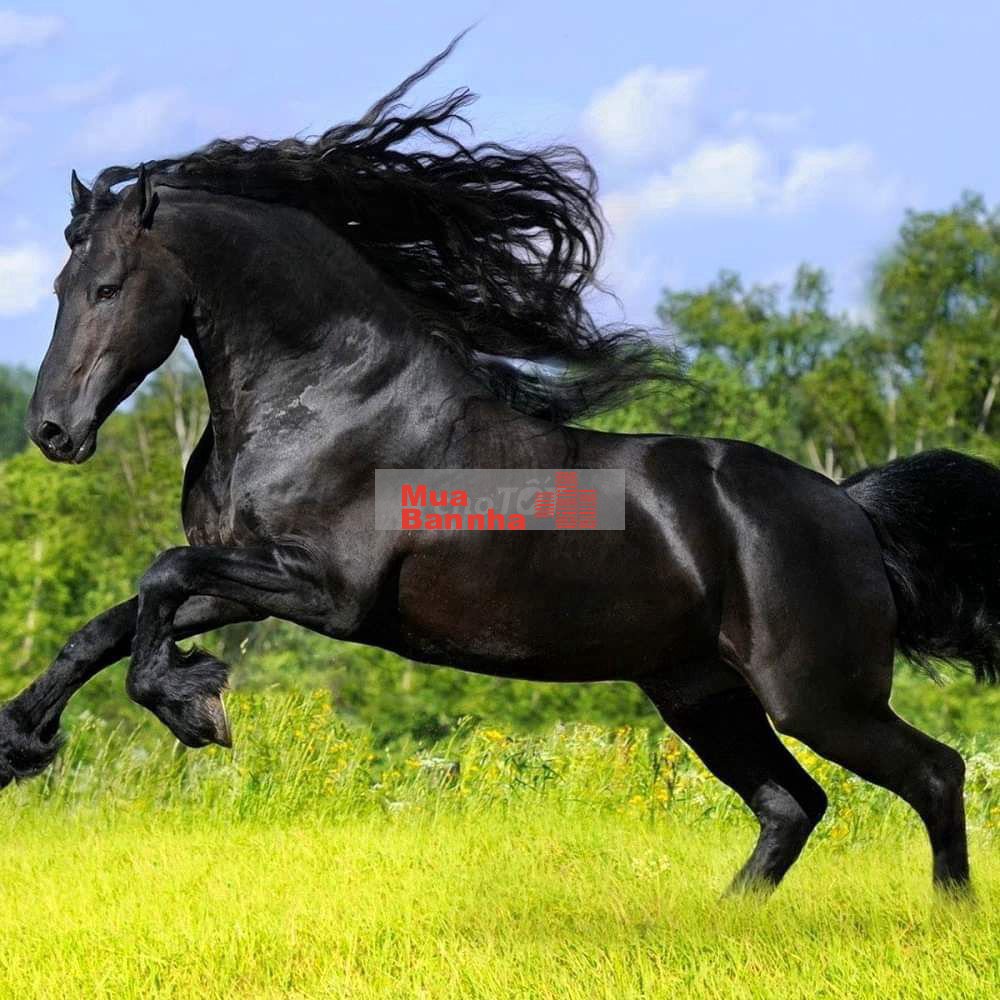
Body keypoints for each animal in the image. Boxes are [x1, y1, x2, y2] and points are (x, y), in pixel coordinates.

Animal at [2, 38, 997, 897]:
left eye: (106, 288)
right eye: (56, 286)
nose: (52, 430)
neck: (327, 398)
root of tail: (851, 511)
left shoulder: (327, 592)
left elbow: (158, 578)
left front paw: (192, 706)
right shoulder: (253, 577)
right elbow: (114, 620)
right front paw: (23, 741)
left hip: (818, 696)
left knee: (934, 774)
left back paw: (945, 918)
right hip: (703, 694)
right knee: (793, 806)